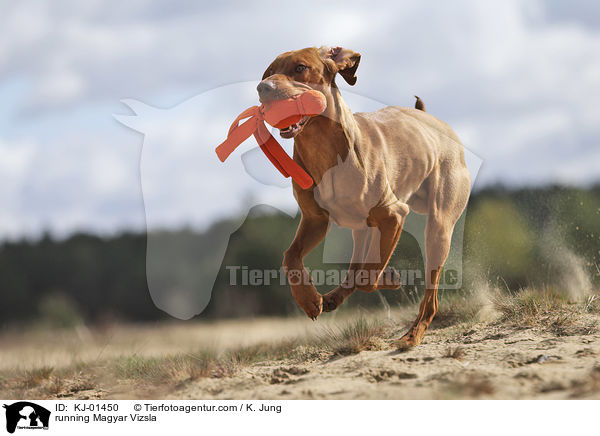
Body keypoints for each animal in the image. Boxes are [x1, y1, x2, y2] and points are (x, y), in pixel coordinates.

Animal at [255, 46, 472, 348]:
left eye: (300, 68)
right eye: (267, 73)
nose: (262, 88)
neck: (323, 150)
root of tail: (434, 120)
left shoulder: (394, 214)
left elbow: (368, 277)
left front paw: (390, 278)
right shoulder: (315, 220)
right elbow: (291, 256)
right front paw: (308, 300)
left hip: (438, 227)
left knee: (429, 296)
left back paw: (411, 335)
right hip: (362, 229)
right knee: (356, 266)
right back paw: (332, 298)